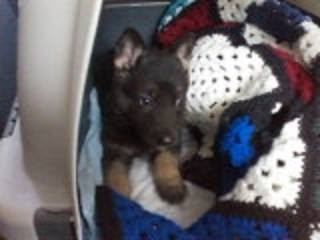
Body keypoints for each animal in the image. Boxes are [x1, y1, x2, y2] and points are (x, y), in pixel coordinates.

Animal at [100, 28, 195, 204]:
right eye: (145, 100)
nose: (169, 140)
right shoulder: (114, 151)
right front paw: (118, 198)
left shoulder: (171, 141)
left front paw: (171, 184)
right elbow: (116, 175)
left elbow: (166, 159)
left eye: (178, 101)